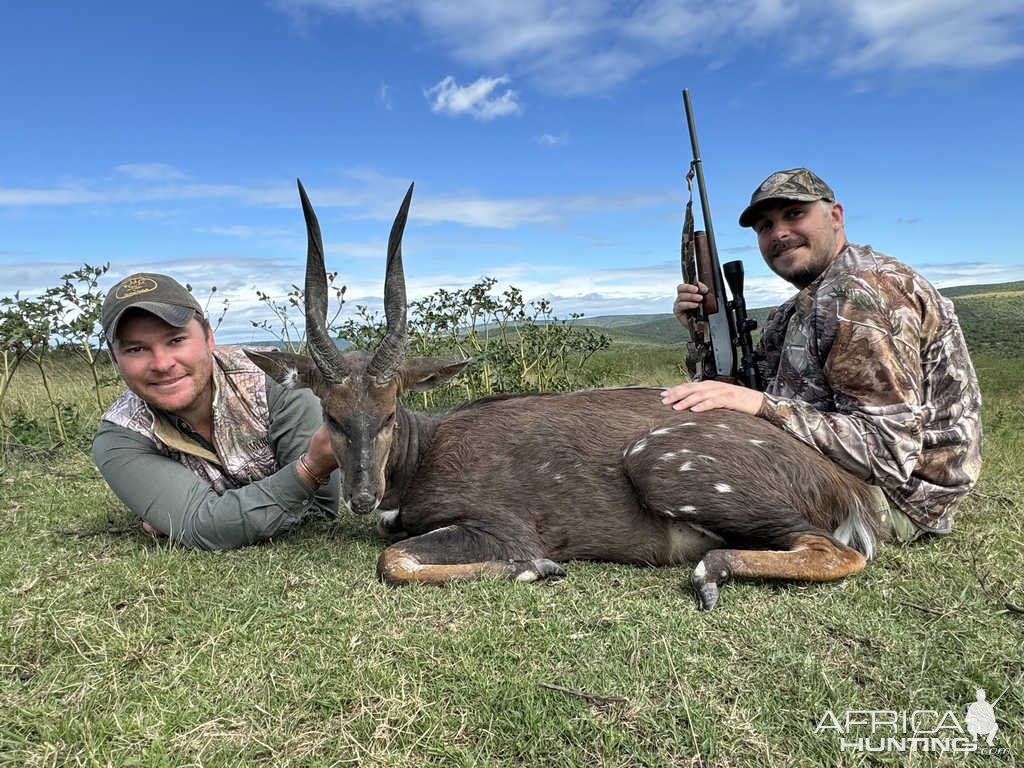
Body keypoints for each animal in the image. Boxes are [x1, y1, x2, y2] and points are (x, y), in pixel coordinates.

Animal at [243, 183, 884, 610]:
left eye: (387, 413)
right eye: (332, 414)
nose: (361, 498)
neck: (422, 451)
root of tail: (846, 485)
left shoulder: (499, 526)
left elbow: (394, 559)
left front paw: (538, 569)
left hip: (664, 465)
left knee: (839, 551)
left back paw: (708, 573)